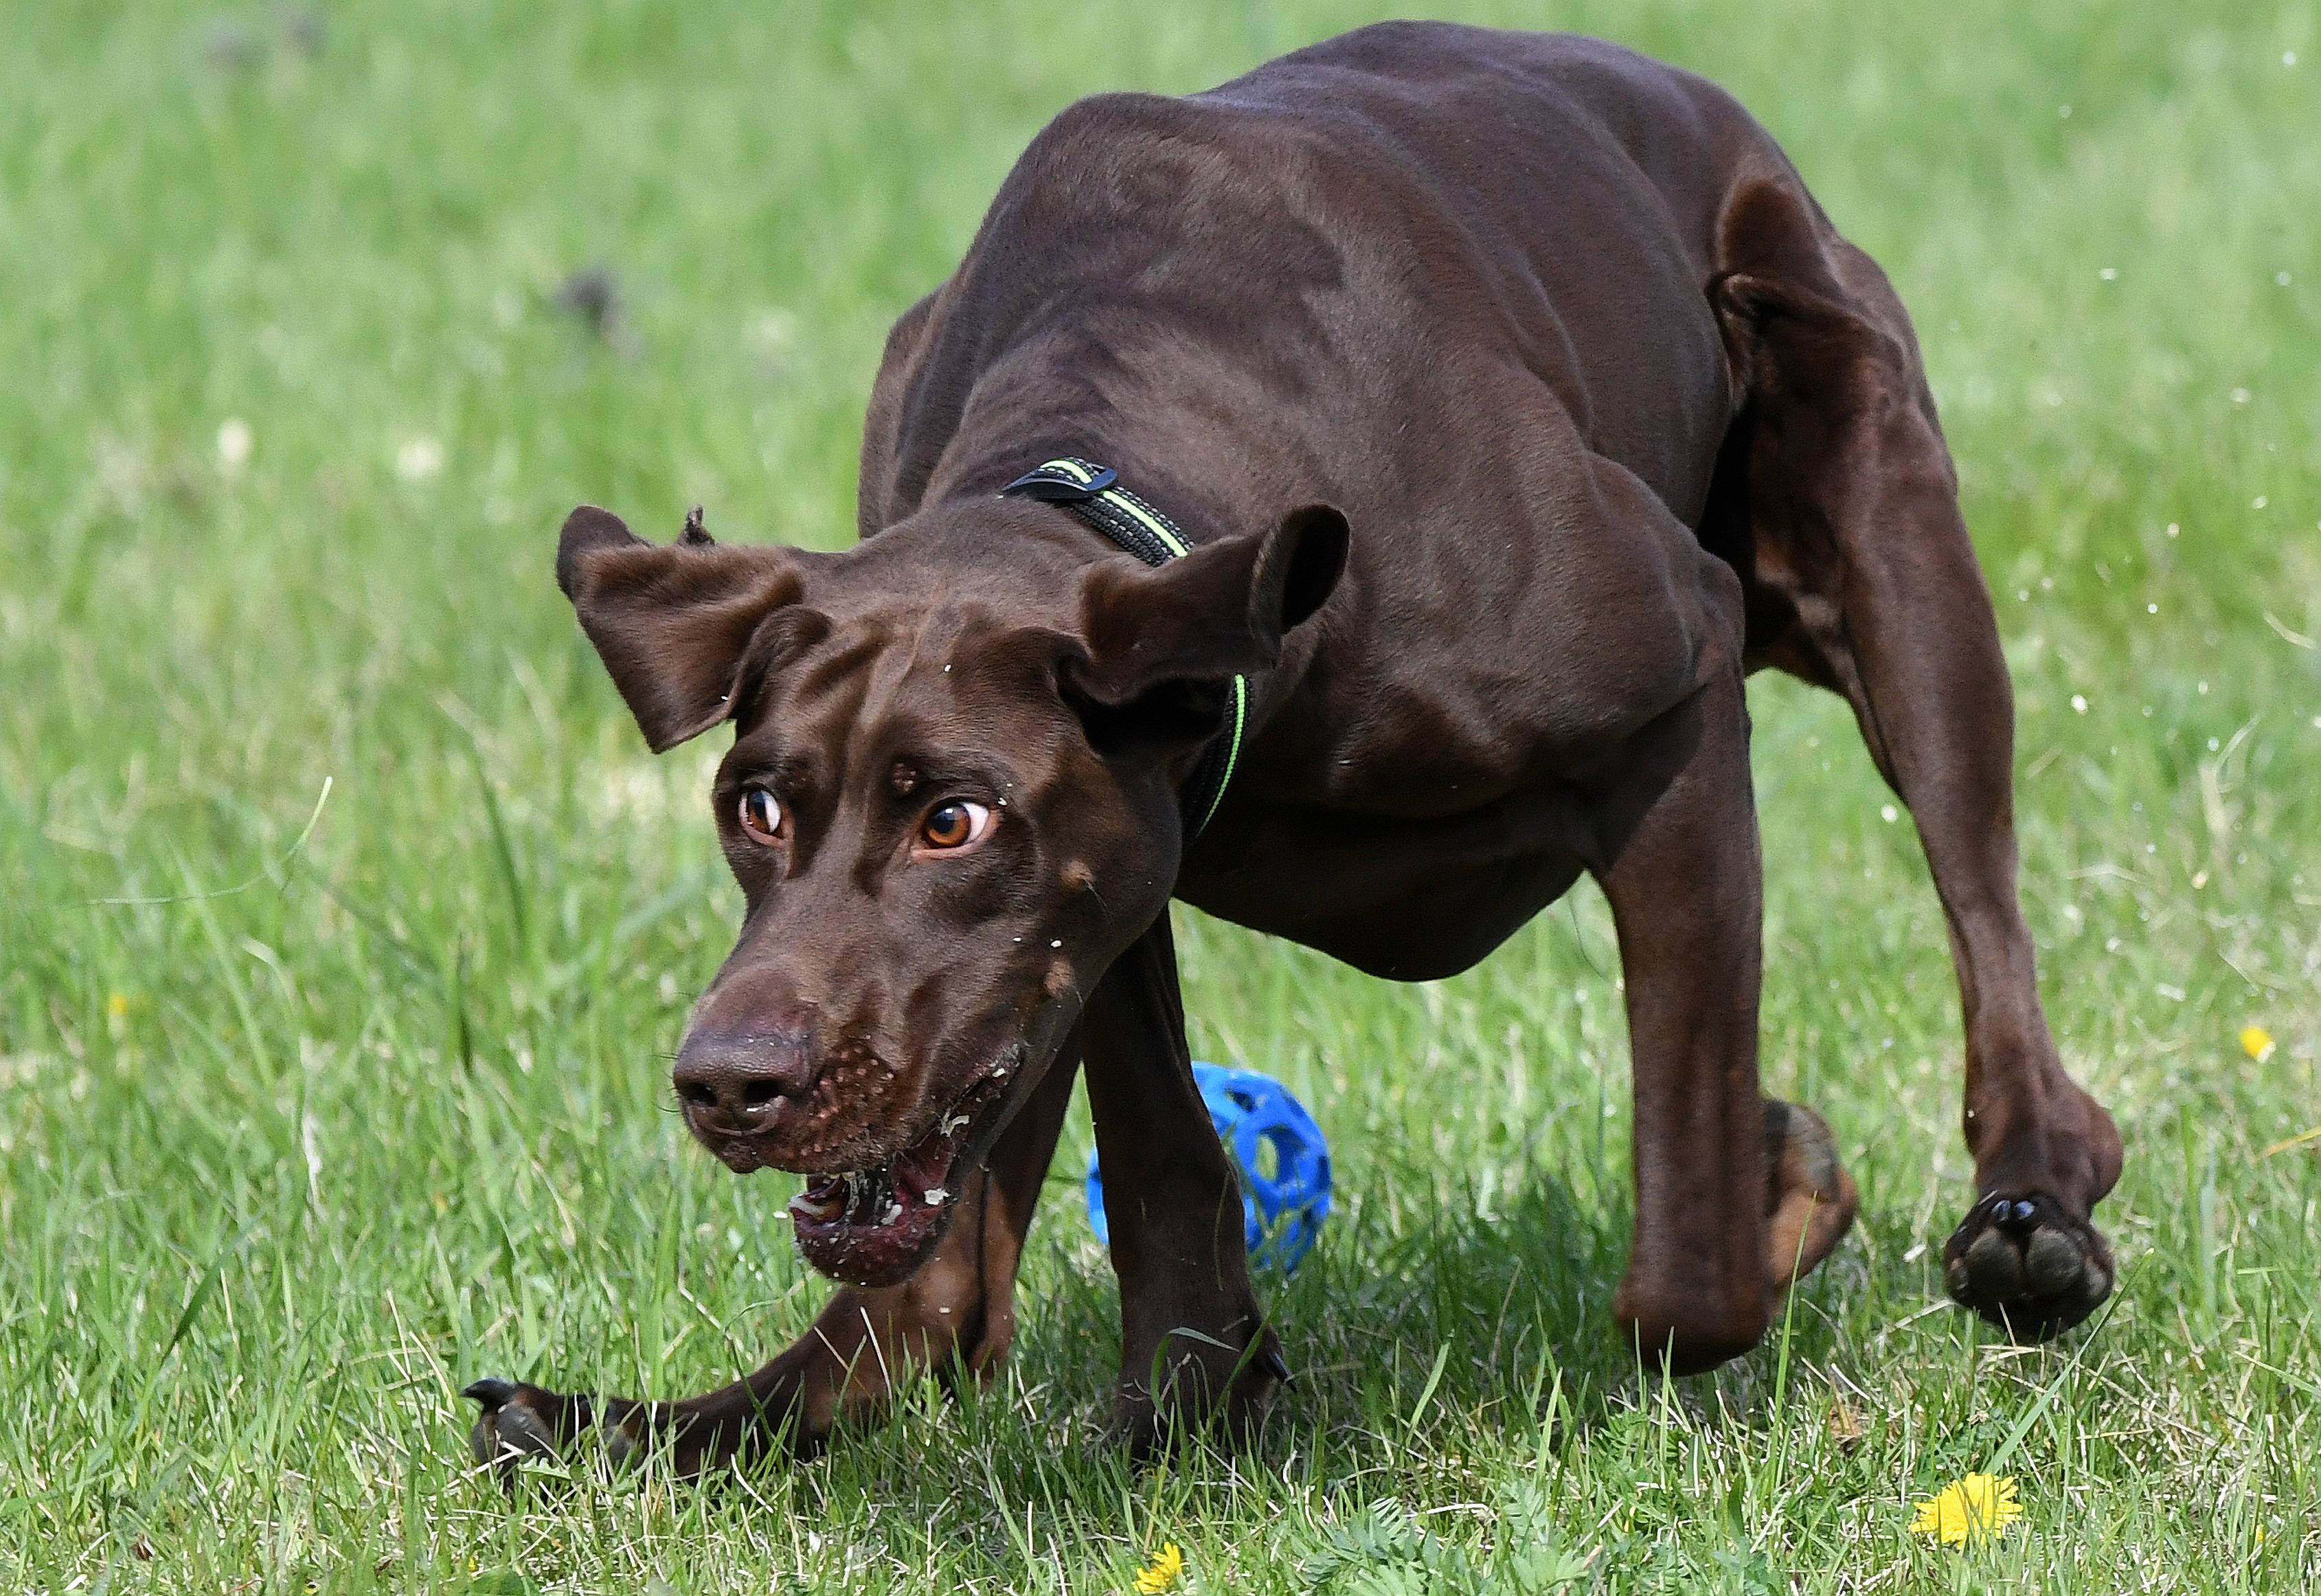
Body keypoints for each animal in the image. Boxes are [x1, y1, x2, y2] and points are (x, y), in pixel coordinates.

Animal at [466, 21, 2126, 1475]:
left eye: (955, 819)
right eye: (754, 806)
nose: (726, 1083)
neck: (1117, 474)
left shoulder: (1679, 707)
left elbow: (1688, 1257)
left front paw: (1776, 1190)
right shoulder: (1122, 865)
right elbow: (1147, 1140)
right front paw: (1202, 1383)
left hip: (1892, 542)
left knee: (1989, 933)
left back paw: (2034, 1222)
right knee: (936, 1287)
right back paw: (637, 1424)